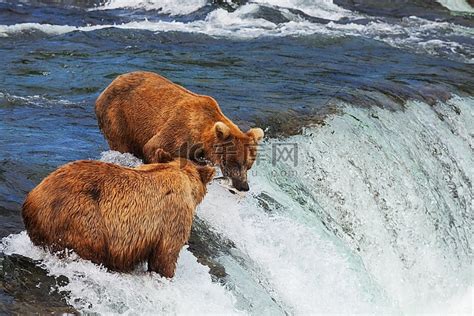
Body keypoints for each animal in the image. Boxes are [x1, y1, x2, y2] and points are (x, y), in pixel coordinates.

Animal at [94, 70, 264, 191]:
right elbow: (154, 147)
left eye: (249, 165)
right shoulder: (179, 131)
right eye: (235, 162)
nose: (244, 186)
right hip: (119, 117)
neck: (202, 136)